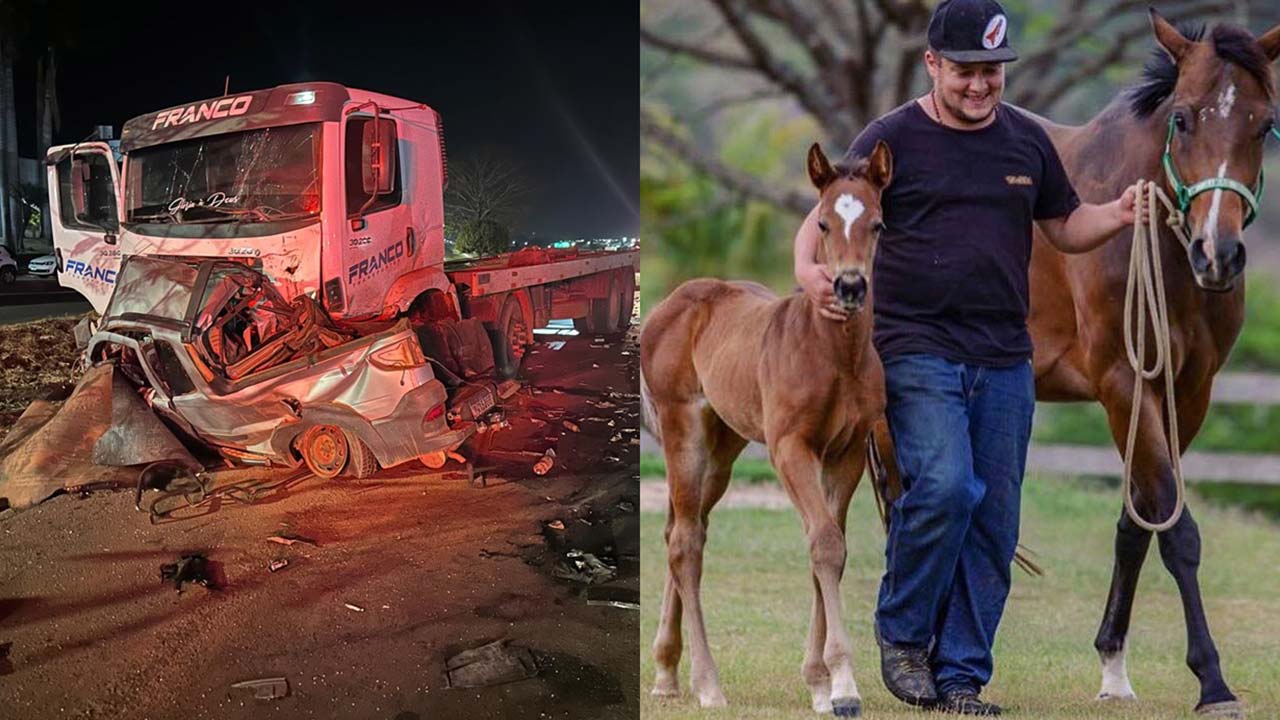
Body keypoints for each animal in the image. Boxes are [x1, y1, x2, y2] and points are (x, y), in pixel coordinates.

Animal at [640, 140, 890, 712]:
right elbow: (824, 544)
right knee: (684, 544)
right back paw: (708, 684)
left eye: (877, 224)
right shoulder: (790, 448)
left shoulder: (845, 455)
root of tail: (670, 304)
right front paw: (843, 687)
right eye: (822, 222)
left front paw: (821, 684)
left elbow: (830, 546)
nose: (849, 286)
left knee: (681, 530)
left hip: (723, 449)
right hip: (683, 431)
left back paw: (666, 673)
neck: (835, 355)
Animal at [1024, 11, 1280, 717]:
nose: (1217, 254)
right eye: (1184, 119)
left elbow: (1140, 518)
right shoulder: (1122, 382)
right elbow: (1177, 527)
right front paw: (1213, 681)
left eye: (1264, 124)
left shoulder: (1187, 392)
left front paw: (1113, 666)